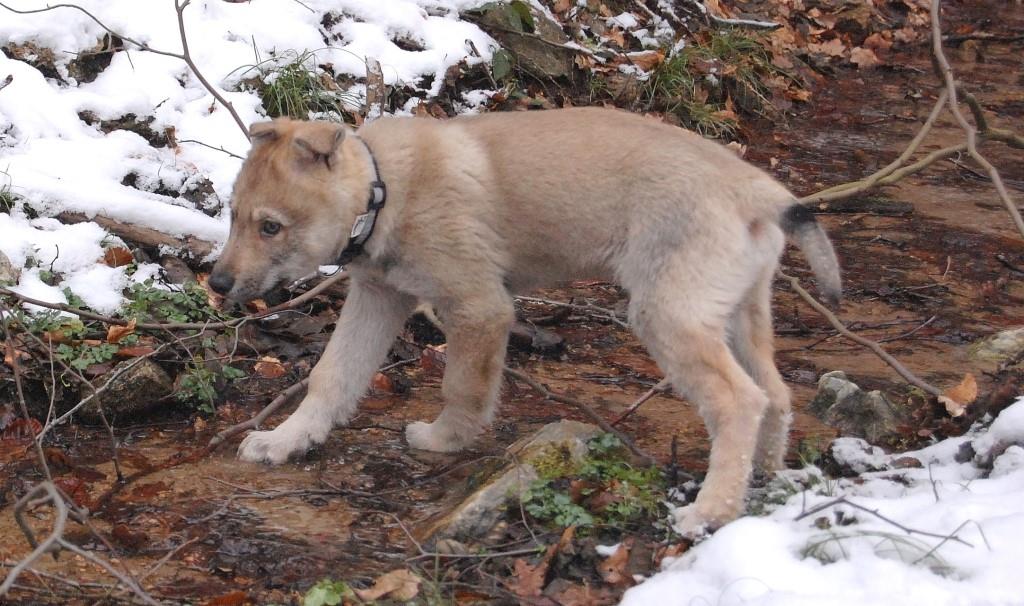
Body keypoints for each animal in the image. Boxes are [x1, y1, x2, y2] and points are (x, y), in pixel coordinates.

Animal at [209, 106, 839, 532]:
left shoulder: (479, 307)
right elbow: (331, 377)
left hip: (670, 315)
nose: (216, 285)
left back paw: (710, 510)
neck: (383, 192)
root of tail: (754, 189)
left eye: (271, 226)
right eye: (233, 216)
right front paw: (288, 440)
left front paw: (444, 440)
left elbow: (462, 386)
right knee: (776, 395)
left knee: (739, 401)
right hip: (738, 314)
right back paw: (766, 478)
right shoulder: (376, 297)